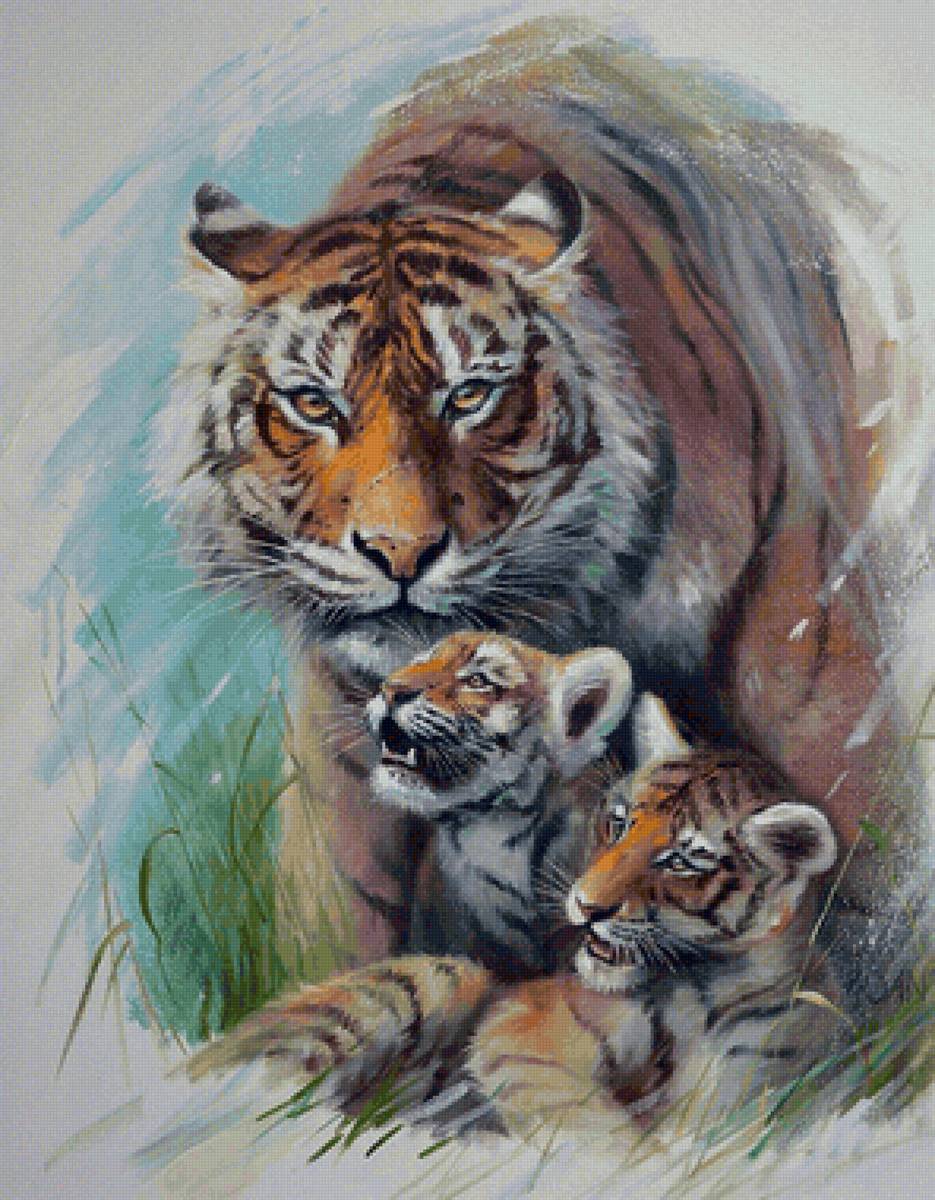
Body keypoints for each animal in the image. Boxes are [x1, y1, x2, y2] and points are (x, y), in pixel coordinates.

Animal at [187, 693, 840, 1138]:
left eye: (681, 860)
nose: (585, 904)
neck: (701, 989)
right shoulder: (531, 1026)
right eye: (619, 823)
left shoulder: (751, 1093)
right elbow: (592, 1127)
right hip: (429, 980)